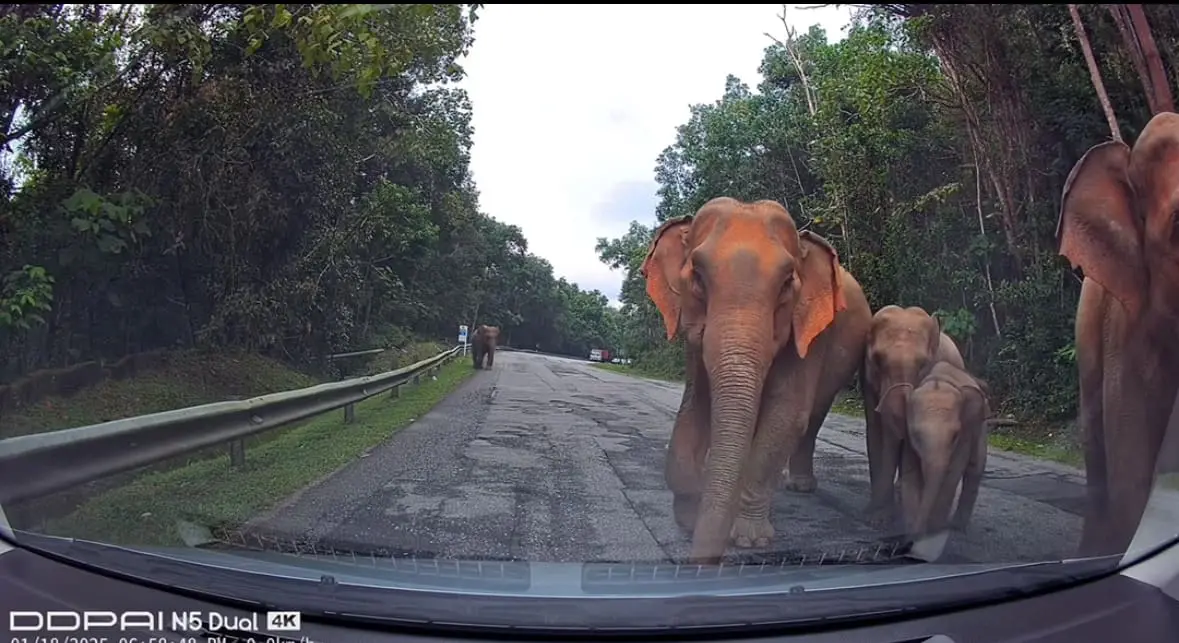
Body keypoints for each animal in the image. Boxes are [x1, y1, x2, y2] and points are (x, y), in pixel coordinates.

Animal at [640, 196, 872, 564]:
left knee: (812, 416)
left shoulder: (812, 331)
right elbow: (696, 403)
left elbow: (786, 412)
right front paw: (690, 515)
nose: (702, 561)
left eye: (787, 283)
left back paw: (800, 486)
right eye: (698, 276)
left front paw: (748, 539)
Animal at [897, 361, 992, 544]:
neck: (938, 379)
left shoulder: (966, 432)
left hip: (981, 430)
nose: (913, 540)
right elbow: (911, 473)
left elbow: (951, 475)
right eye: (916, 435)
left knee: (975, 467)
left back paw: (957, 528)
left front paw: (933, 534)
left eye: (955, 436)